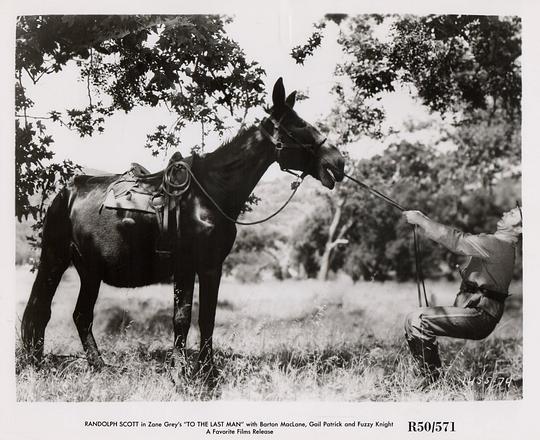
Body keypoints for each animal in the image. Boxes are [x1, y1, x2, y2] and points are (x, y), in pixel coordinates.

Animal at [21, 77, 346, 376]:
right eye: (299, 125)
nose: (339, 161)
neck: (208, 193)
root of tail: (66, 192)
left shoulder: (212, 266)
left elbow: (207, 318)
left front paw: (208, 371)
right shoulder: (186, 265)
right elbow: (182, 318)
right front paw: (182, 370)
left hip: (89, 270)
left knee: (79, 315)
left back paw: (96, 366)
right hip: (55, 260)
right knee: (40, 308)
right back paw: (36, 363)